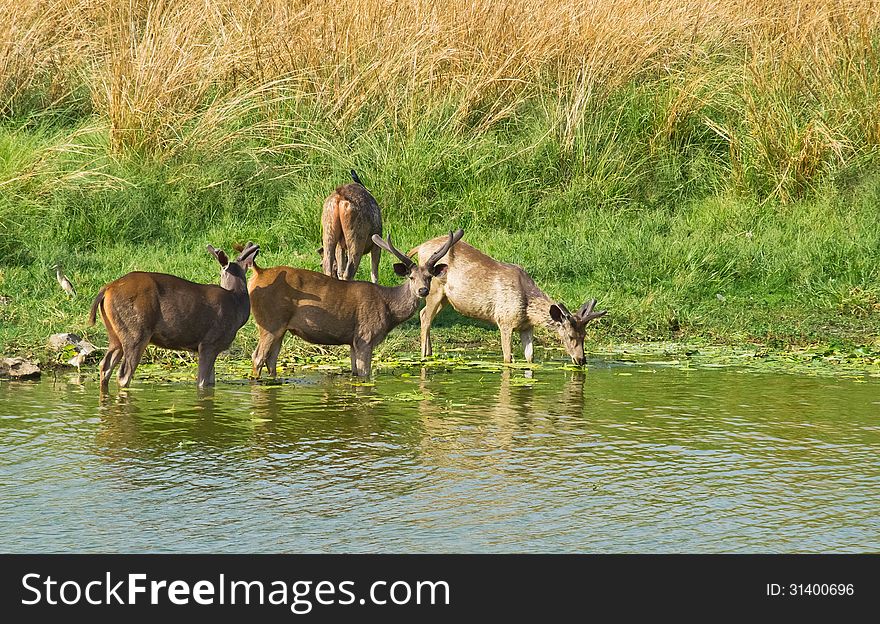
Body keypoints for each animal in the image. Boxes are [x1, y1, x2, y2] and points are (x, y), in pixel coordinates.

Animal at [88, 241, 260, 388]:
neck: (236, 303)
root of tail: (106, 289)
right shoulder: (209, 343)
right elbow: (202, 382)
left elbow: (211, 382)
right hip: (136, 331)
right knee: (123, 374)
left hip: (115, 333)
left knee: (105, 365)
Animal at [248, 229, 464, 376]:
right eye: (411, 277)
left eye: (429, 277)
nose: (423, 291)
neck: (389, 309)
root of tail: (258, 274)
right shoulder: (365, 336)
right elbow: (365, 375)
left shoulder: (352, 341)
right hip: (270, 321)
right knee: (257, 357)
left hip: (280, 327)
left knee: (271, 360)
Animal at [408, 239, 604, 366]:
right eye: (570, 336)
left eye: (584, 335)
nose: (581, 360)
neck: (527, 307)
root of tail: (420, 247)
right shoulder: (504, 321)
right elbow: (507, 359)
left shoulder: (527, 327)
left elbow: (530, 358)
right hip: (433, 289)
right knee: (424, 316)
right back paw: (424, 356)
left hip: (445, 298)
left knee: (425, 315)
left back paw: (430, 354)